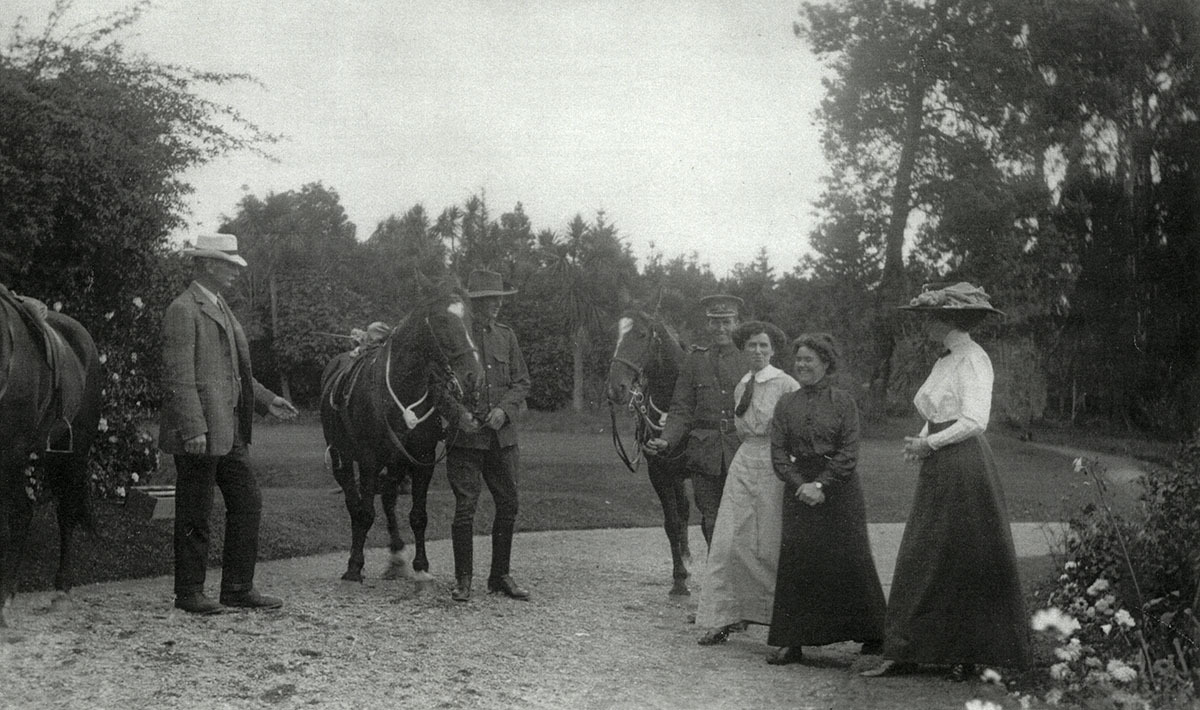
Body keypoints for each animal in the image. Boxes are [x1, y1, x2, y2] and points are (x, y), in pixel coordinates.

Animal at [324, 274, 487, 585]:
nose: (475, 376)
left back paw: (397, 554)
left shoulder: (422, 459)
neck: (404, 387)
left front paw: (420, 565)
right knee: (354, 503)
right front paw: (355, 565)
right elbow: (365, 512)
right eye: (442, 320)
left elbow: (418, 515)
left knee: (388, 498)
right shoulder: (369, 460)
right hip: (342, 458)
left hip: (397, 462)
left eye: (472, 319)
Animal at [600, 307, 696, 597]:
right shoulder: (660, 472)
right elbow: (671, 522)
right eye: (615, 335)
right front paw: (679, 579)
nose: (615, 388)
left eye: (642, 334)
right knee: (683, 509)